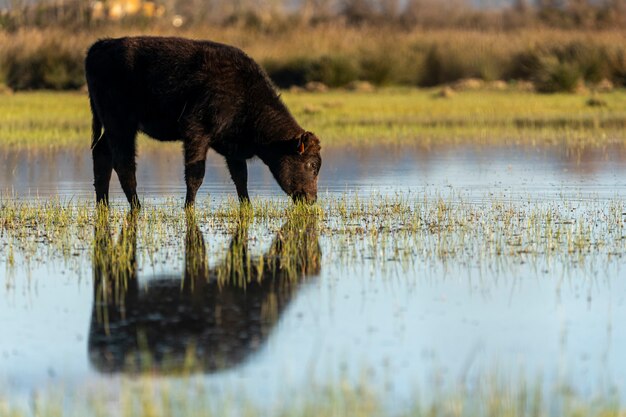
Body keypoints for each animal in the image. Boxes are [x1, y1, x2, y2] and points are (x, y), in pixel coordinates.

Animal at [84, 35, 320, 206]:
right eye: (310, 164)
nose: (312, 198)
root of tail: (102, 45)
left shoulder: (232, 147)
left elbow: (240, 177)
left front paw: (247, 206)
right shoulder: (196, 133)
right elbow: (195, 174)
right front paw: (188, 207)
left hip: (114, 127)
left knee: (102, 154)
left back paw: (103, 205)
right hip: (121, 125)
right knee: (124, 163)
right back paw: (136, 206)